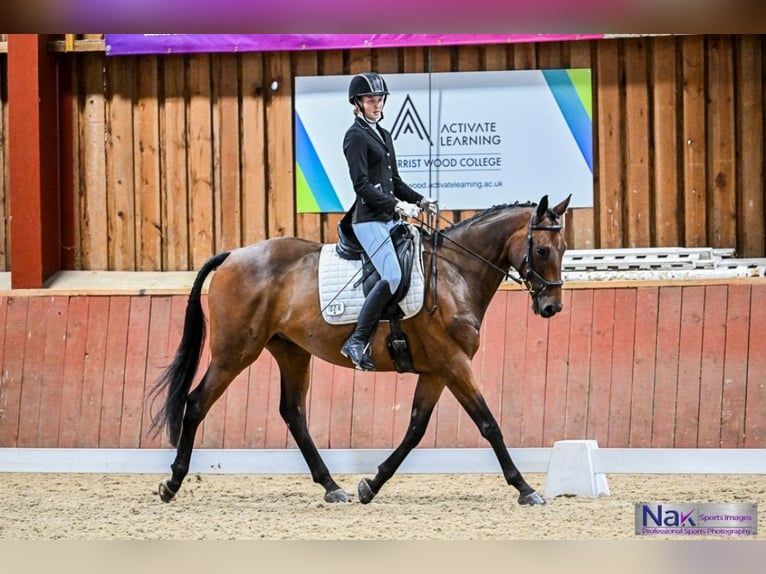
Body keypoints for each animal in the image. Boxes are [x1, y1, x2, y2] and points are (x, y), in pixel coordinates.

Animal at [150, 195, 568, 508]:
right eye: (542, 249)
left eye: (563, 249)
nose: (552, 307)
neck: (454, 275)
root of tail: (233, 255)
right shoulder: (454, 363)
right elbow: (489, 424)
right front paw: (526, 489)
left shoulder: (437, 370)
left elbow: (415, 429)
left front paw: (372, 484)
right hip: (234, 353)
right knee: (196, 402)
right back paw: (172, 483)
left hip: (291, 352)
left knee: (293, 414)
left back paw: (332, 487)